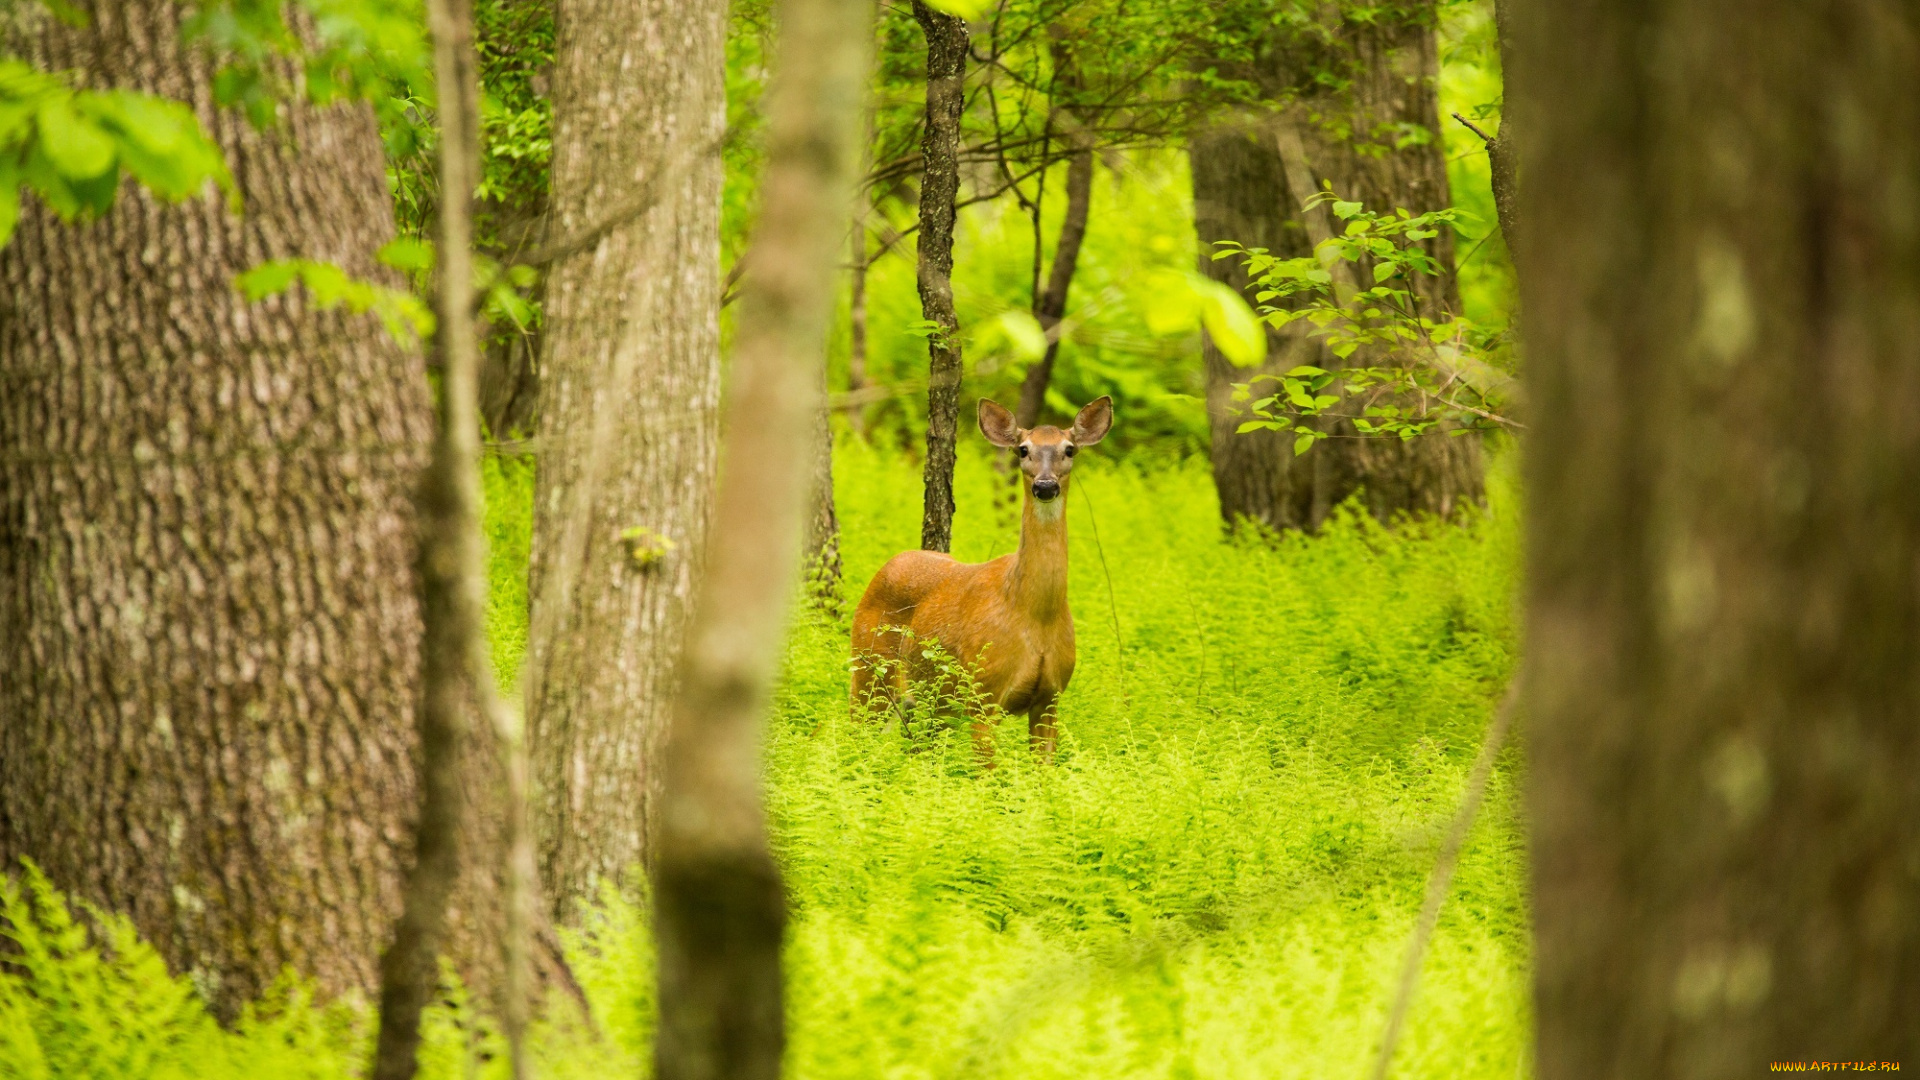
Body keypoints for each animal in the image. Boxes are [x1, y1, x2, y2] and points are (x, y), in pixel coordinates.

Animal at [852, 393, 1113, 757]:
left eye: (1070, 449)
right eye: (1023, 449)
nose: (1045, 486)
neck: (1034, 614)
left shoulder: (1051, 697)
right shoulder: (982, 693)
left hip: (928, 703)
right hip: (869, 668)